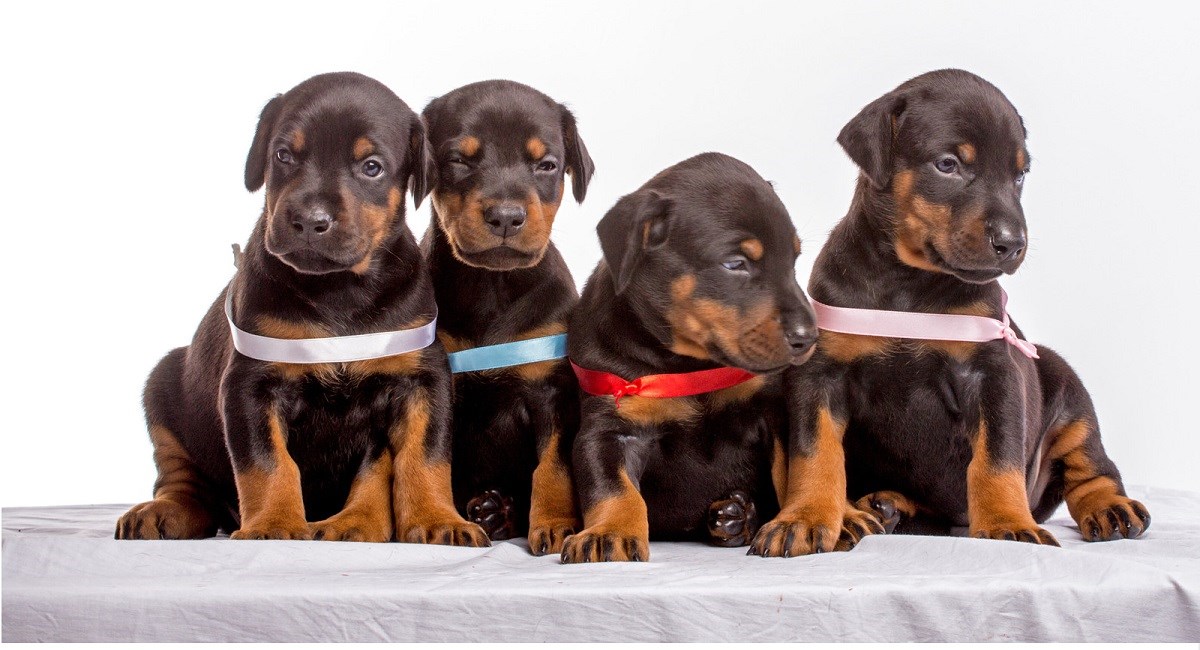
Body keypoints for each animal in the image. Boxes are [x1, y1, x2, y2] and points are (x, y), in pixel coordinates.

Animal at [112, 71, 487, 546]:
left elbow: (422, 456)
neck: (338, 290)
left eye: (371, 167)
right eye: (283, 155)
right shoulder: (251, 384)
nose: (310, 221)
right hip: (164, 385)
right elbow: (267, 462)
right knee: (182, 479)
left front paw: (436, 518)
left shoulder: (420, 378)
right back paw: (165, 512)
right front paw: (273, 523)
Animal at [422, 80, 595, 556]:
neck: (493, 287)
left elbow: (553, 466)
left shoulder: (552, 390)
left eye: (547, 165)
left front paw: (556, 524)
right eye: (458, 160)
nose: (506, 216)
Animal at [556, 154, 820, 566]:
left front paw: (791, 522)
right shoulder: (610, 425)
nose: (808, 337)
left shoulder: (771, 412)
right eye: (735, 263)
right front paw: (608, 532)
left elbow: (787, 471)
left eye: (794, 260)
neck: (687, 364)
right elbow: (613, 487)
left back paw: (737, 517)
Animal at [748, 71, 1152, 561]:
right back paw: (885, 505)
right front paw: (804, 519)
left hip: (1065, 387)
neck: (909, 285)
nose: (1013, 243)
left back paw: (1110, 506)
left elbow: (997, 458)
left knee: (1091, 465)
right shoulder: (820, 373)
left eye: (1019, 174)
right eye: (947, 164)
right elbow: (815, 453)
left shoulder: (992, 372)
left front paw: (1007, 523)